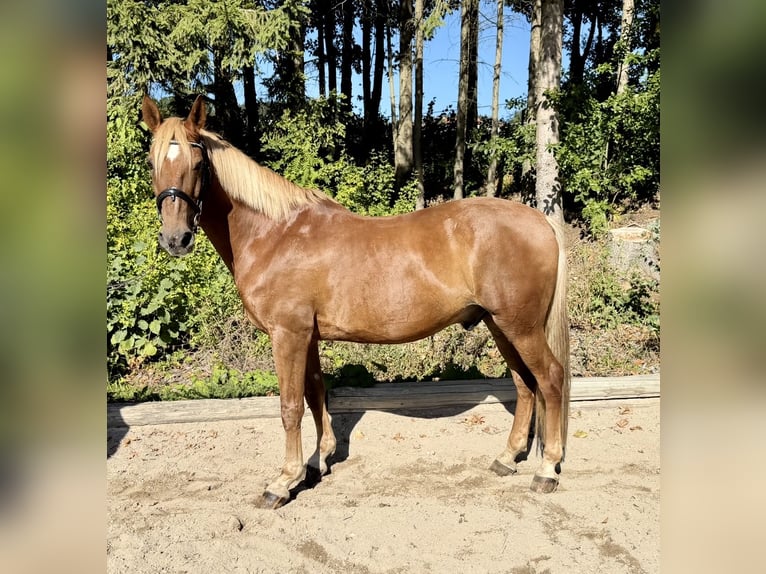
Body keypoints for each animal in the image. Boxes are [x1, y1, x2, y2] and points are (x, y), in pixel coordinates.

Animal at [140, 95, 571, 509]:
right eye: (153, 161)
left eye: (198, 162)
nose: (175, 239)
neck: (276, 233)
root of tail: (541, 221)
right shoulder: (307, 337)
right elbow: (315, 394)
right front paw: (317, 462)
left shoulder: (288, 335)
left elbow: (291, 406)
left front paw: (283, 481)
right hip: (500, 325)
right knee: (524, 383)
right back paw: (507, 458)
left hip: (520, 327)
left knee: (549, 378)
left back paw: (547, 469)